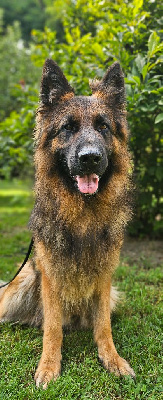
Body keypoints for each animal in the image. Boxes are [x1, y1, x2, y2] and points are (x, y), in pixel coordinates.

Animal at [0, 59, 135, 388]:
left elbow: (103, 324)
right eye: (68, 128)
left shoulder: (104, 276)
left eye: (103, 126)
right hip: (23, 281)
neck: (83, 213)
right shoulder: (51, 275)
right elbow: (53, 328)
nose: (90, 158)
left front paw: (111, 358)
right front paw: (49, 366)